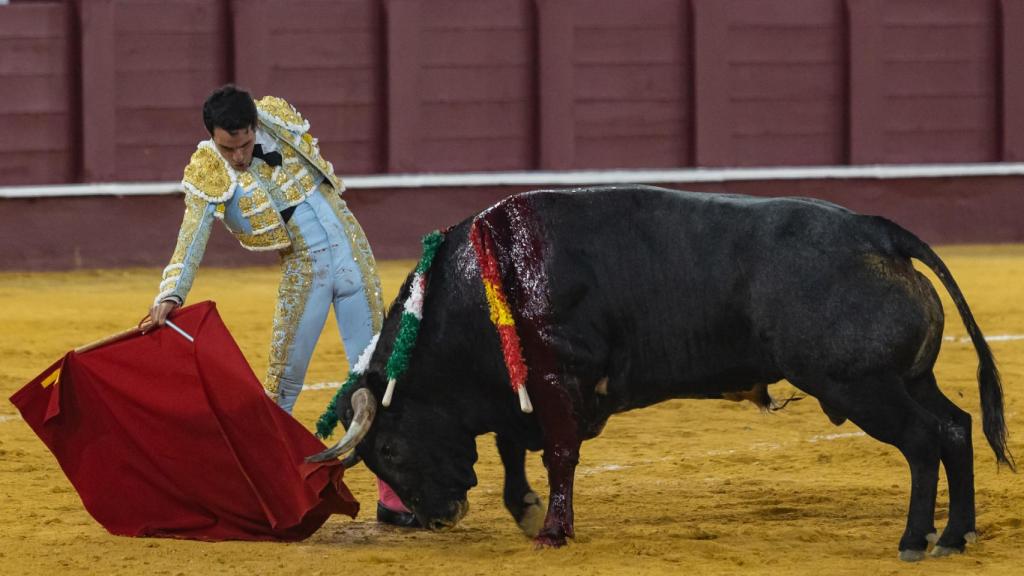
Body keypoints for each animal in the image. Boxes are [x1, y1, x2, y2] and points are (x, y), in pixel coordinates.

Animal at [307, 184, 1011, 561]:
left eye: (390, 450)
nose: (437, 518)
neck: (476, 287)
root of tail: (878, 233)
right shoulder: (522, 386)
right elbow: (513, 447)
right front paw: (528, 512)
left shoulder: (558, 381)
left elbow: (557, 455)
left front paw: (553, 531)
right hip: (906, 380)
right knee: (956, 429)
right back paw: (957, 535)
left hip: (861, 386)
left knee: (922, 441)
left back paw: (915, 539)